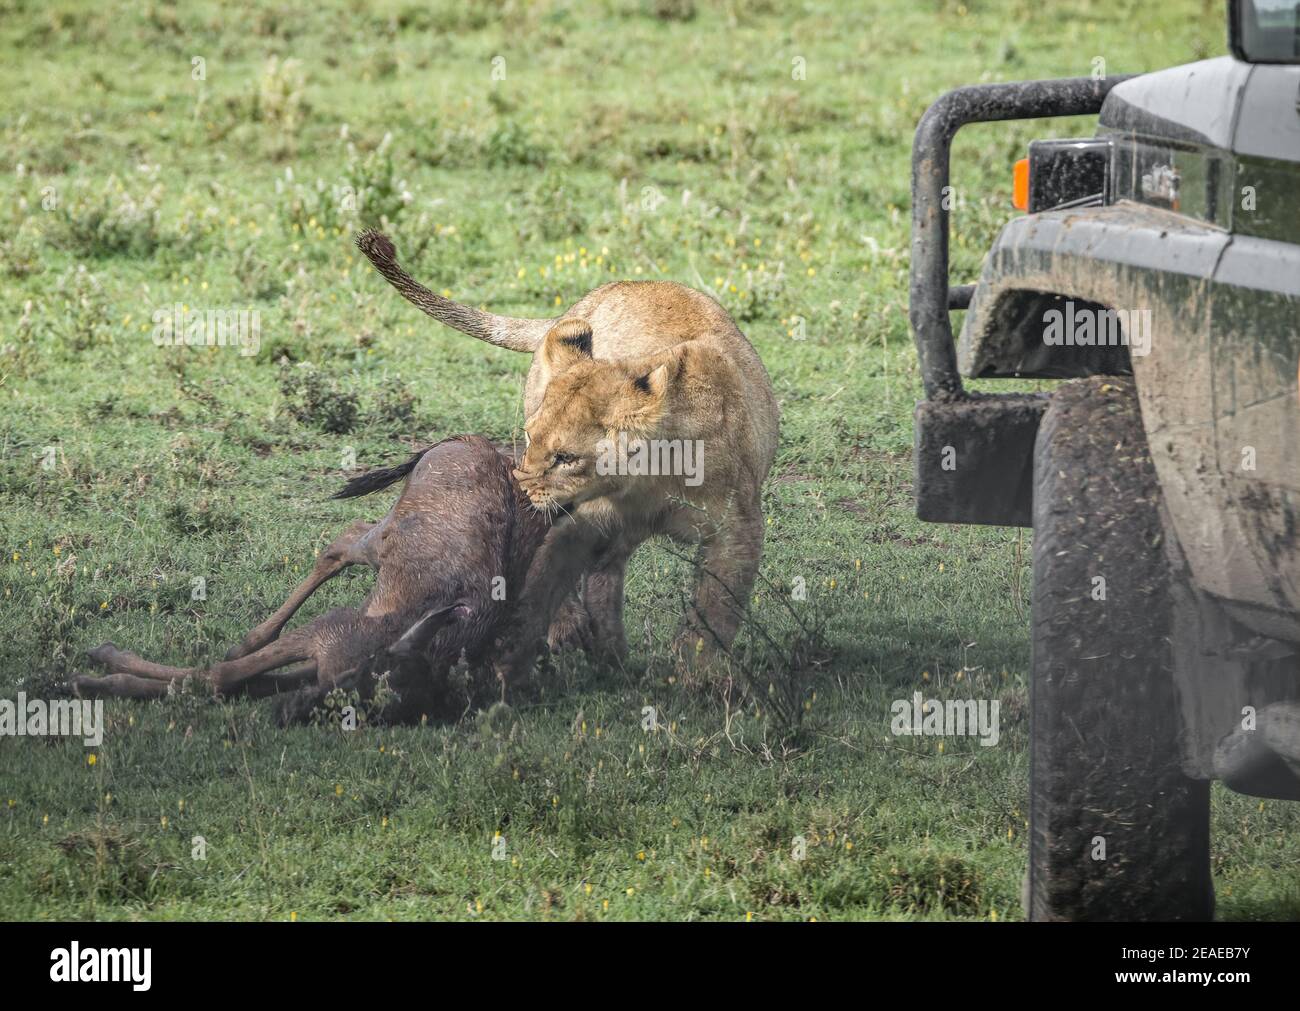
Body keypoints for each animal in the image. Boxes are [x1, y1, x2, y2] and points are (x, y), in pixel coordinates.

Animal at [72, 436, 548, 722]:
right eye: (369, 678)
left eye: (378, 701)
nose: (290, 712)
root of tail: (464, 440)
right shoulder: (327, 632)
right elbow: (222, 675)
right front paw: (97, 665)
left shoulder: (322, 658)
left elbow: (233, 681)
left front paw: (101, 676)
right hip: (381, 539)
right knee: (345, 537)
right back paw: (246, 639)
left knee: (345, 537)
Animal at [356, 230, 774, 675]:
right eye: (531, 437)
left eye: (567, 458)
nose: (521, 493)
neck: (650, 478)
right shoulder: (584, 518)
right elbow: (544, 581)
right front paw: (518, 655)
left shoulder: (737, 530)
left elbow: (714, 612)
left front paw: (695, 673)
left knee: (605, 575)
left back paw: (612, 653)